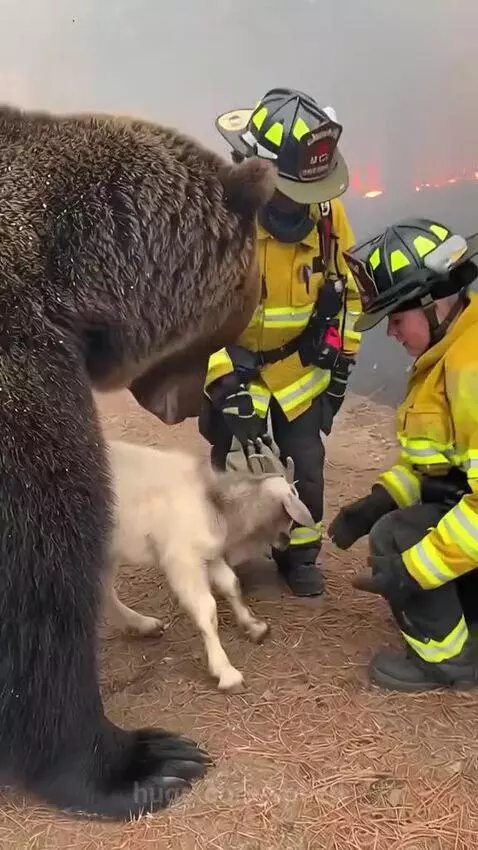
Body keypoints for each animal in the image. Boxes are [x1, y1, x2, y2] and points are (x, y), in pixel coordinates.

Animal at [102, 438, 316, 693]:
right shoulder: (182, 559)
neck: (215, 505)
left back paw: (143, 625)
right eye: (289, 513)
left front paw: (254, 627)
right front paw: (226, 672)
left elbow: (230, 584)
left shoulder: (210, 555)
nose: (285, 542)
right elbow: (207, 609)